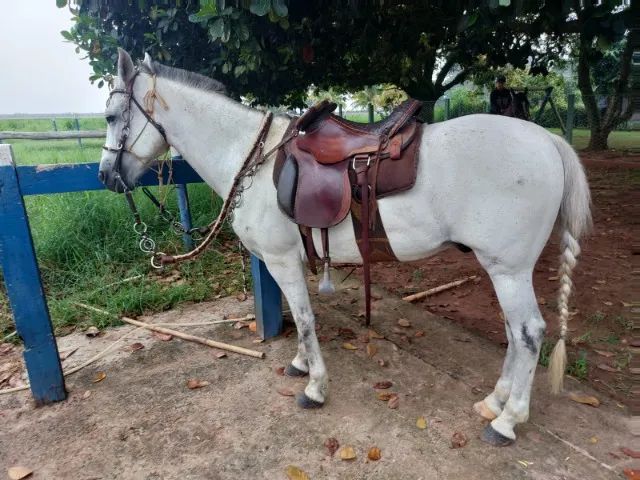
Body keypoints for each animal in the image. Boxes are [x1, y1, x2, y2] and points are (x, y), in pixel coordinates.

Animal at [99, 49, 591, 447]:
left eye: (110, 117)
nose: (106, 176)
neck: (253, 157)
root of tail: (547, 140)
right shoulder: (287, 261)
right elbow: (299, 318)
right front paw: (300, 364)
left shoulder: (282, 260)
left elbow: (304, 318)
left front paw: (315, 387)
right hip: (503, 269)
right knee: (515, 332)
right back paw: (494, 401)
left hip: (508, 269)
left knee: (529, 333)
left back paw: (507, 421)